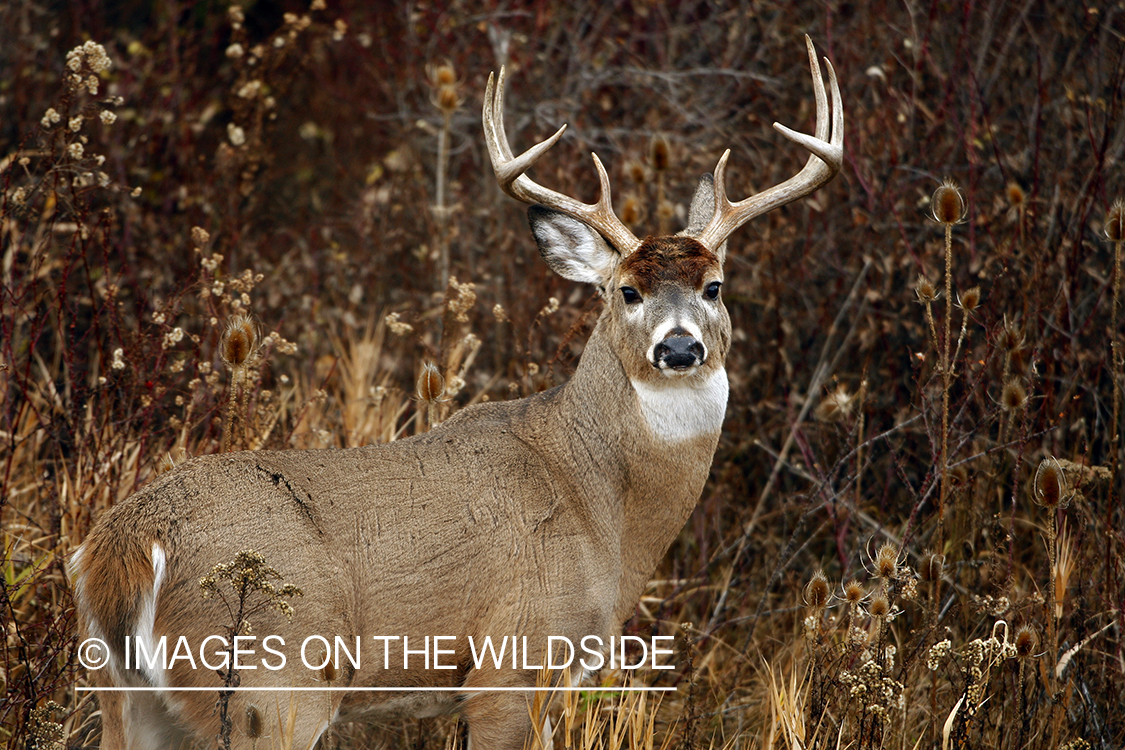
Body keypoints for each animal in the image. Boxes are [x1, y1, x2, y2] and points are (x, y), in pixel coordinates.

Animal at [70, 36, 841, 750]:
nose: (679, 348)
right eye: (626, 291)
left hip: (127, 693)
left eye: (714, 287)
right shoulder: (513, 660)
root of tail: (123, 548)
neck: (600, 505)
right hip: (272, 685)